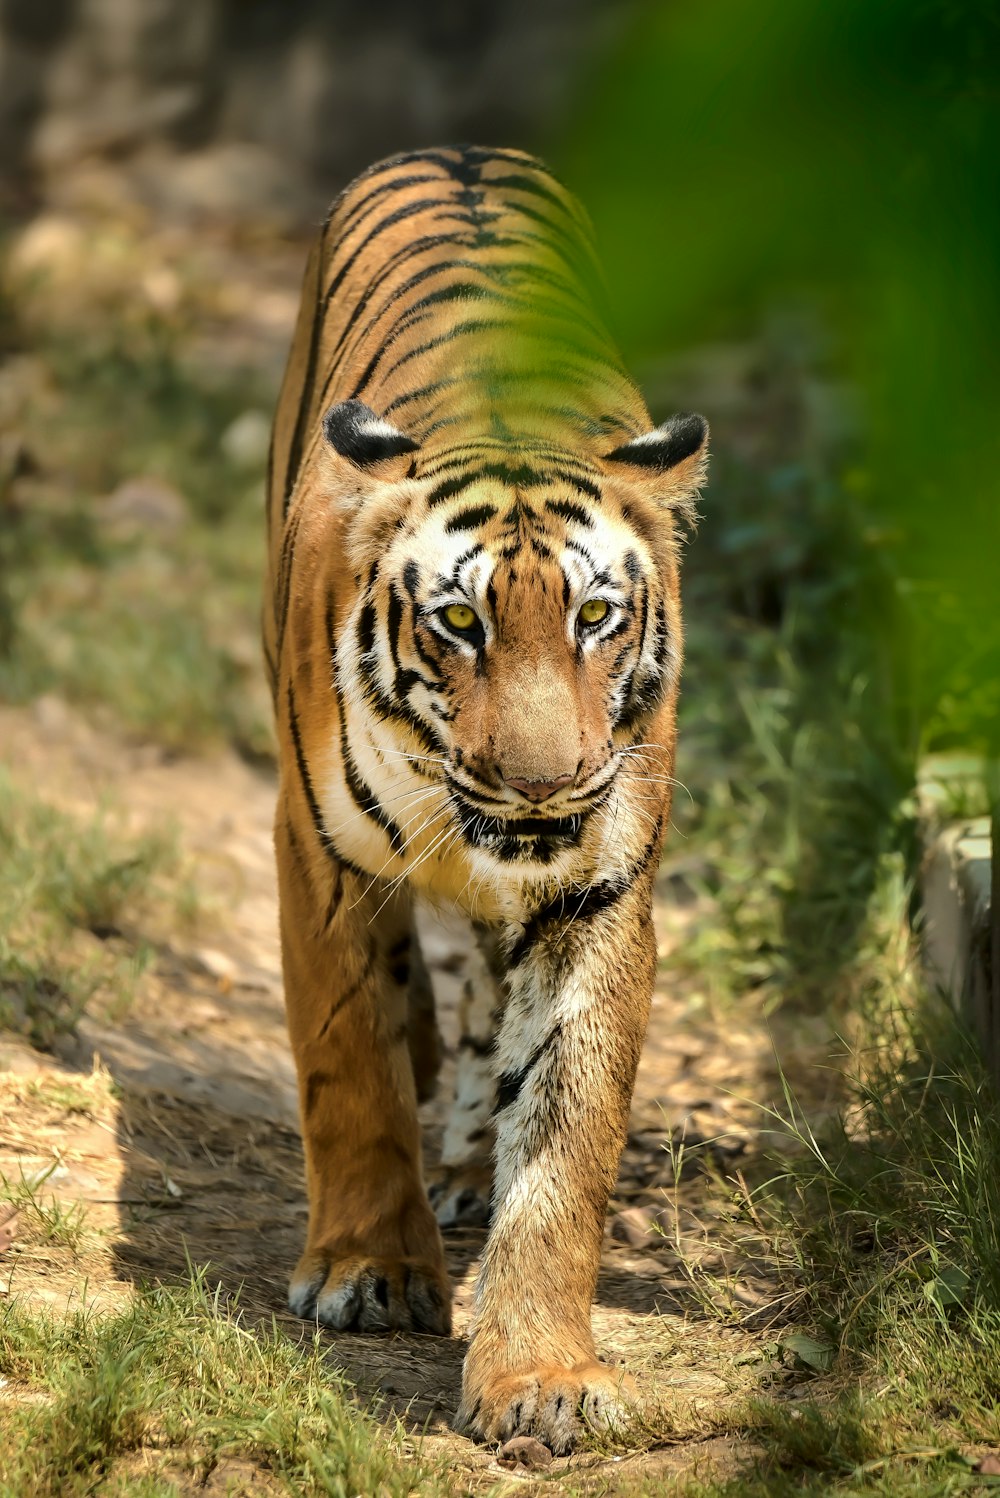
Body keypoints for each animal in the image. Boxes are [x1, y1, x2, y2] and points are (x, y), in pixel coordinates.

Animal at [261, 146, 706, 1456]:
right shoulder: (321, 855)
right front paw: (368, 1271)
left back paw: (464, 1166)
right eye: (458, 621)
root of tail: (453, 149)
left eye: (596, 616)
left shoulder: (600, 887)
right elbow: (349, 1058)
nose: (543, 779)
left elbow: (563, 1132)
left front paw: (539, 1374)